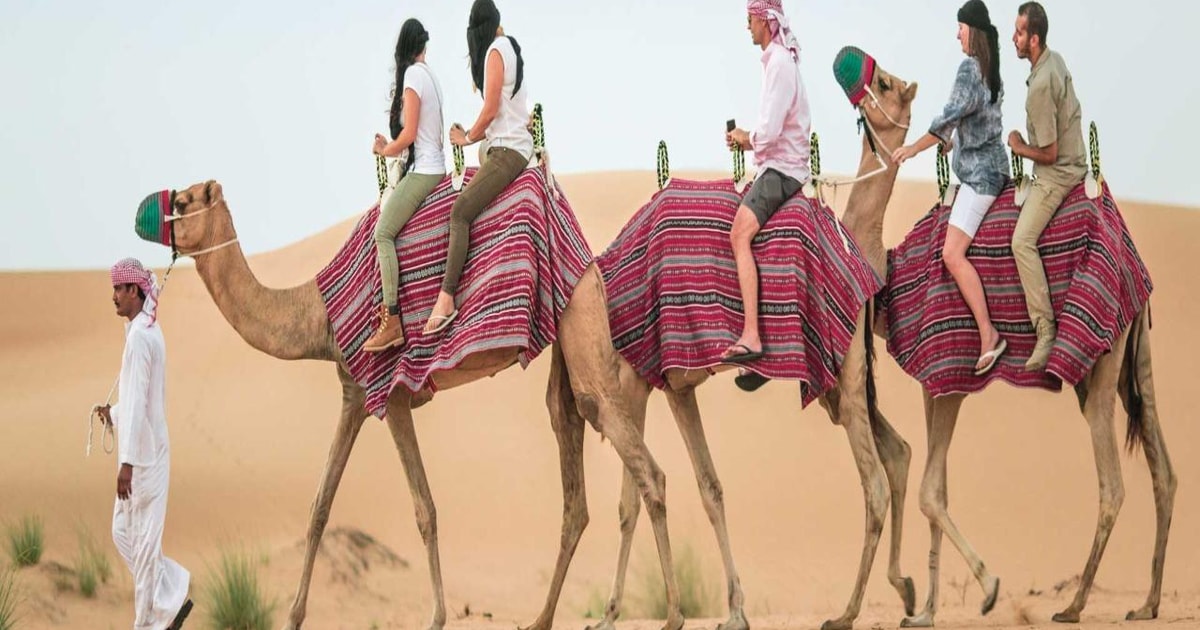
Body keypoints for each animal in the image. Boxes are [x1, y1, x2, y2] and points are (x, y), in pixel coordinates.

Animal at [159, 179, 691, 630]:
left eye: (181, 202)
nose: (152, 222)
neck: (318, 315)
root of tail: (586, 255)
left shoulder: (391, 393)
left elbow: (424, 509)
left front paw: (436, 617)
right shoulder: (354, 393)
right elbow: (319, 506)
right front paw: (292, 618)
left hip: (579, 315)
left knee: (637, 457)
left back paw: (673, 615)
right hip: (567, 323)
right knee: (571, 454)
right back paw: (542, 619)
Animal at [835, 50, 1176, 626]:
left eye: (883, 81)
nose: (849, 68)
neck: (890, 275)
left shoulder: (949, 370)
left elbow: (931, 493)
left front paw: (989, 588)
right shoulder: (933, 381)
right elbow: (937, 490)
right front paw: (924, 611)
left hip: (1100, 361)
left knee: (1112, 485)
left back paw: (1074, 605)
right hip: (1134, 354)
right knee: (1163, 467)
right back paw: (1148, 602)